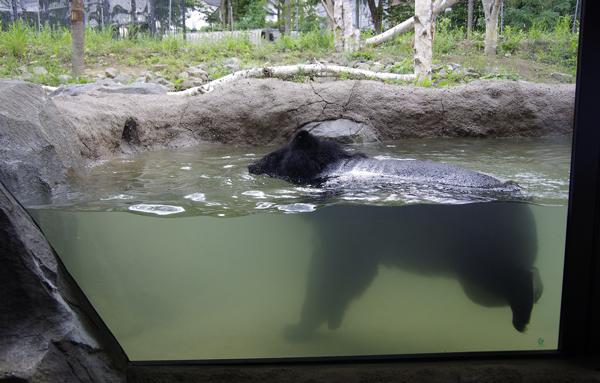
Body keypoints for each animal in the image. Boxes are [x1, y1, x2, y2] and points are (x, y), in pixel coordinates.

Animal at [246, 131, 540, 340]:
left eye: (271, 156)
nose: (250, 165)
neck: (333, 170)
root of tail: (520, 199)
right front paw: (329, 320)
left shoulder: (351, 225)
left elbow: (337, 270)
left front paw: (297, 328)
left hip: (472, 243)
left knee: (496, 276)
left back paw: (522, 313)